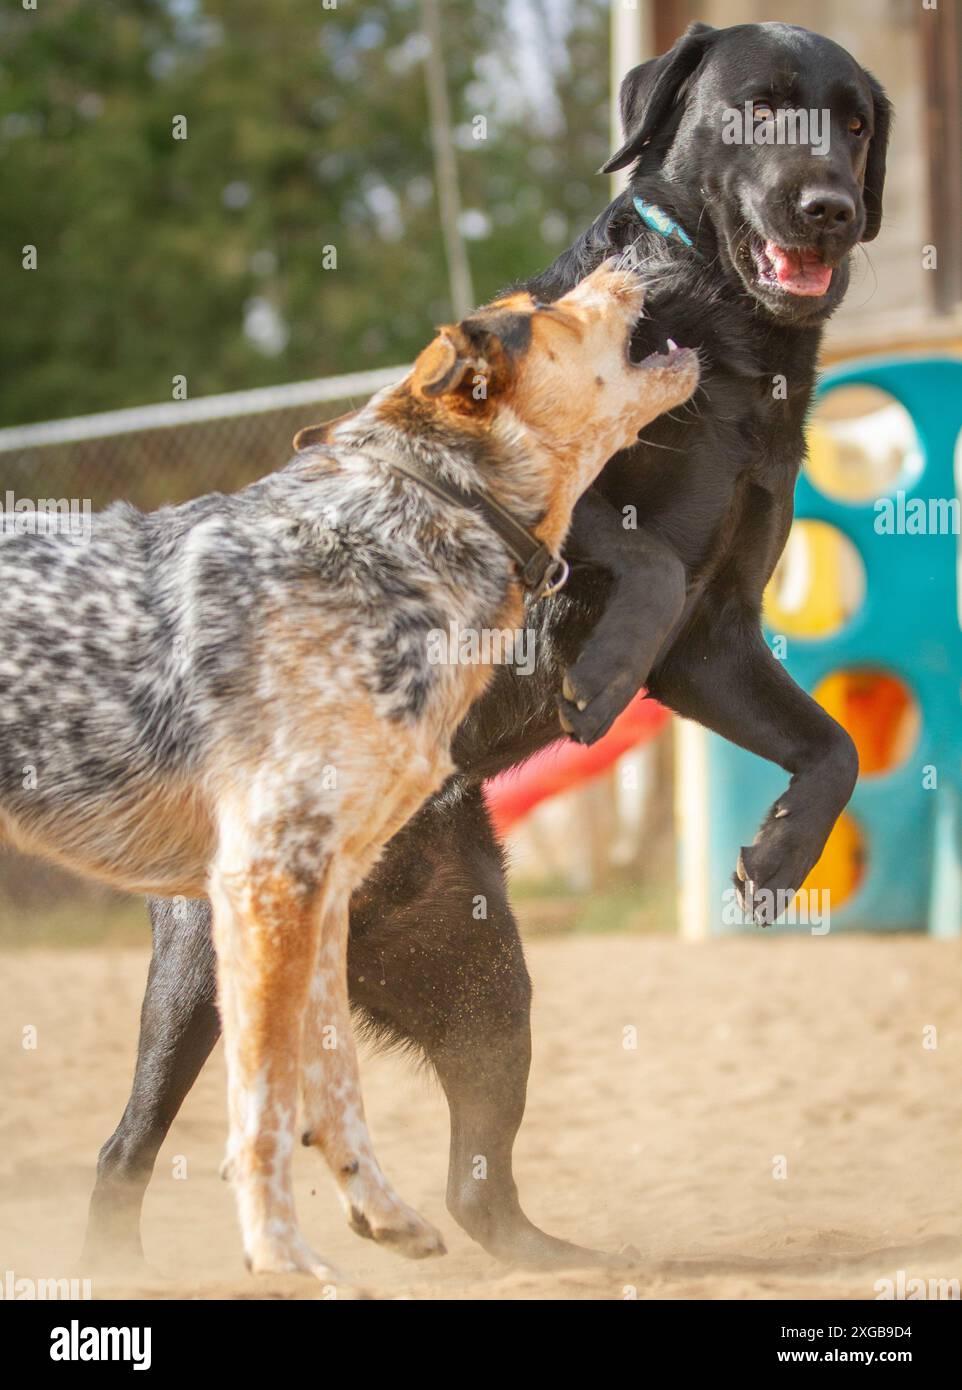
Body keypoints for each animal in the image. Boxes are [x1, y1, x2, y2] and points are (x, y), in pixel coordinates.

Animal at [0, 261, 695, 1278]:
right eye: (540, 311)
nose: (633, 258)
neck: (418, 525)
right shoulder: (268, 878)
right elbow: (263, 1115)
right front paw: (284, 1261)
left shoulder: (318, 892)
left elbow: (331, 1090)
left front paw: (373, 1215)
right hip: (201, 978)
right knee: (127, 1146)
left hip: (486, 990)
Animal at [80, 21, 884, 1273]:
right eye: (757, 105)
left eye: (852, 123)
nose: (829, 208)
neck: (721, 334)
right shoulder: (529, 505)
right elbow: (637, 560)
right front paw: (594, 677)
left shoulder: (714, 642)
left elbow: (830, 745)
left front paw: (775, 857)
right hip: (203, 971)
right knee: (123, 1151)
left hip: (486, 981)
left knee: (476, 1186)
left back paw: (566, 1262)